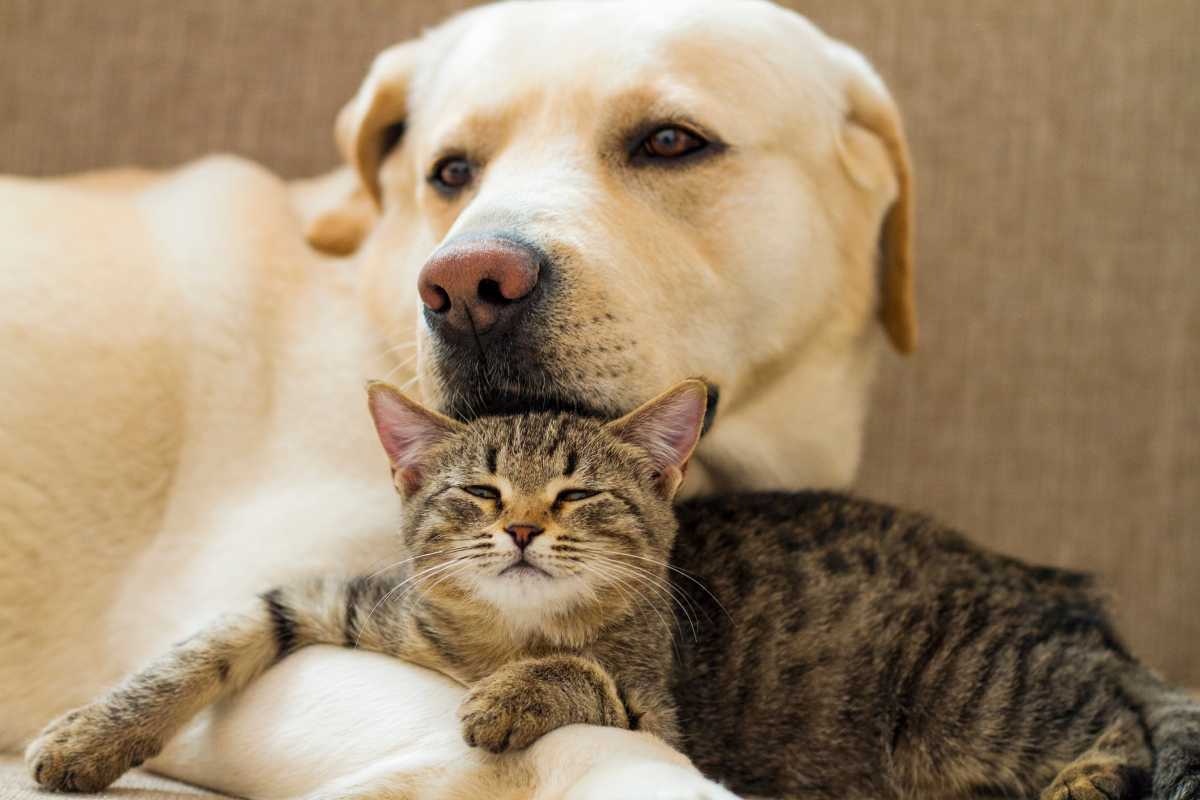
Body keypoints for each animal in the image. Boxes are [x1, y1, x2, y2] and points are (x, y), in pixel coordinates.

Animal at [23, 379, 1195, 796]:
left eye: (579, 493)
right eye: (480, 489)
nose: (524, 526)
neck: (497, 635)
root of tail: (1058, 590)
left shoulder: (658, 719)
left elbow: (578, 675)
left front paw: (507, 698)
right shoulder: (324, 601)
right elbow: (200, 646)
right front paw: (87, 736)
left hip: (971, 704)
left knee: (1126, 727)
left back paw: (1086, 781)